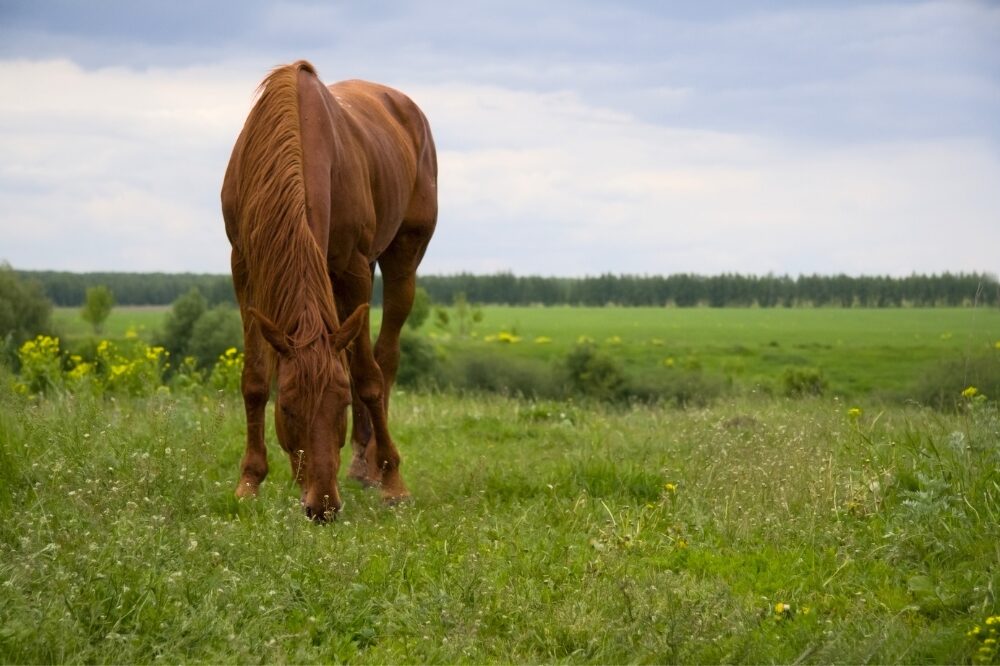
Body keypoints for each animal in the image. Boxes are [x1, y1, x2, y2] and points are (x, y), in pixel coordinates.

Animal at [221, 60, 437, 520]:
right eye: (286, 406)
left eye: (340, 407)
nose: (322, 507)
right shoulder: (243, 265)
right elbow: (254, 378)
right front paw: (249, 481)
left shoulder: (353, 268)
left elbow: (368, 378)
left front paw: (394, 483)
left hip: (402, 257)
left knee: (384, 357)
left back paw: (371, 467)